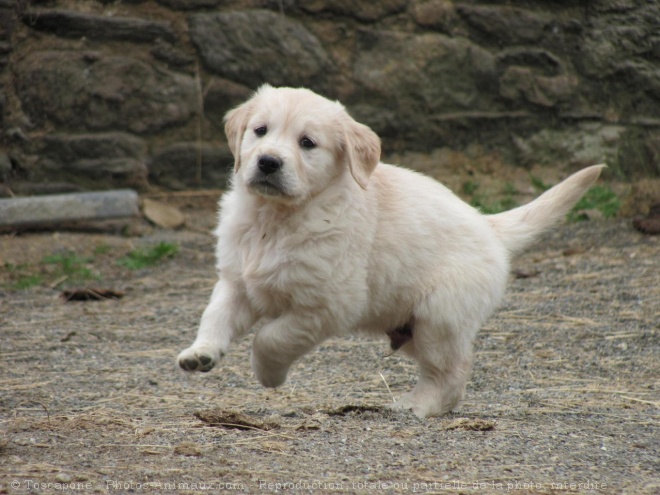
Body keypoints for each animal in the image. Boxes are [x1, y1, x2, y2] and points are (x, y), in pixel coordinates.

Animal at [178, 85, 604, 418]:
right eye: (260, 131)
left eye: (307, 143)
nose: (267, 162)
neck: (276, 217)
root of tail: (489, 226)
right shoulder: (236, 280)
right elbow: (215, 315)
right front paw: (201, 353)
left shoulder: (326, 305)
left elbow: (271, 338)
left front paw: (268, 374)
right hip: (410, 326)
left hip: (438, 319)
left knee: (452, 372)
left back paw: (417, 405)